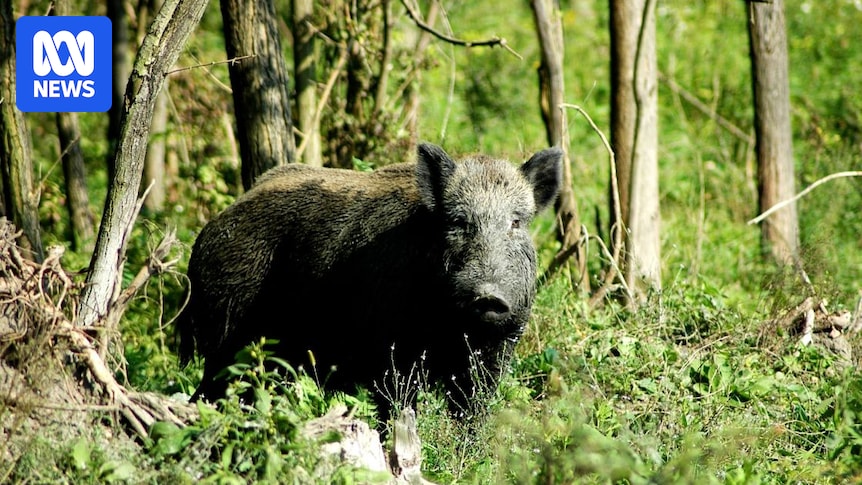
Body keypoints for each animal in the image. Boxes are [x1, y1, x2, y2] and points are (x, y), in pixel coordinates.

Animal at [177, 142, 562, 419]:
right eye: (458, 222)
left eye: (516, 222)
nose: (488, 296)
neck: (452, 327)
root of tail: (206, 234)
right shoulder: (391, 353)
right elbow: (397, 408)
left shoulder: (497, 350)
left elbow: (473, 412)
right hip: (225, 331)